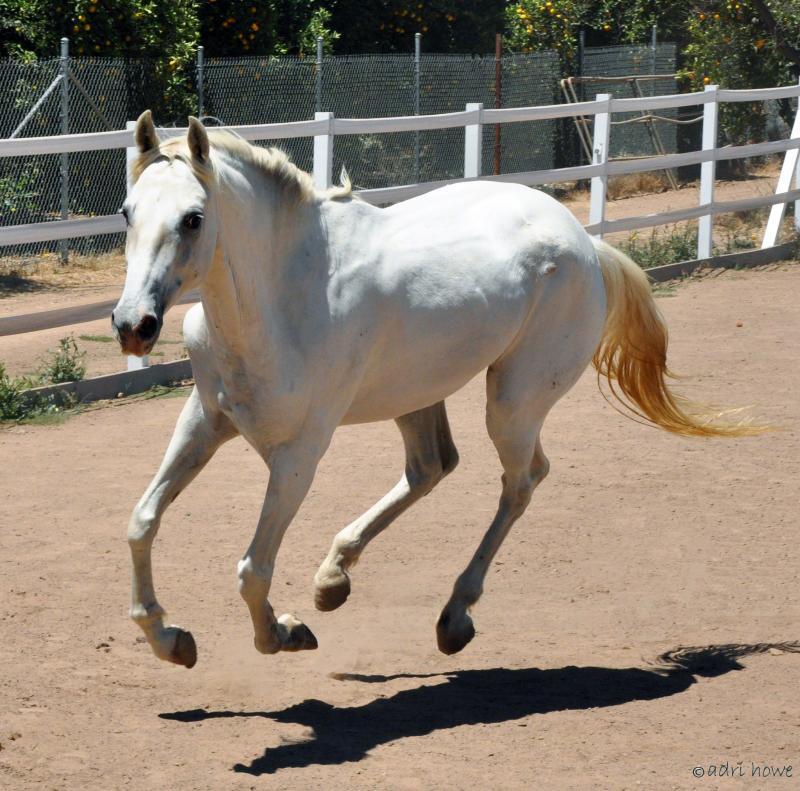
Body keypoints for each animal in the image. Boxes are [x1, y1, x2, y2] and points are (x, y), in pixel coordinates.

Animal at [112, 110, 756, 669]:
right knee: (433, 467)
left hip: (513, 401)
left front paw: (285, 633)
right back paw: (334, 578)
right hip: (416, 395)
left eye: (193, 218)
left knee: (521, 481)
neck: (284, 298)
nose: (133, 325)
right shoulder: (204, 422)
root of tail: (582, 242)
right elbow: (141, 522)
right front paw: (170, 639)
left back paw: (454, 615)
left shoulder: (299, 455)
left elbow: (253, 570)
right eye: (126, 213)